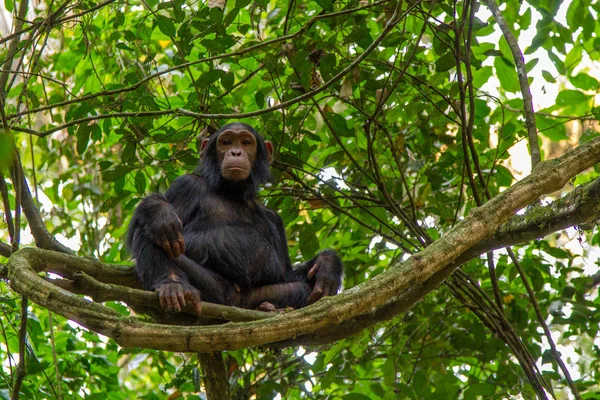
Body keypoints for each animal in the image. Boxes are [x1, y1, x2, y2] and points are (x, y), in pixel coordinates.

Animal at [126, 122, 342, 316]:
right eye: (226, 142)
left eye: (246, 142)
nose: (236, 152)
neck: (232, 192)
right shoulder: (186, 185)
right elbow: (158, 220)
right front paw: (160, 213)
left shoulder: (275, 219)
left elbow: (284, 272)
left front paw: (327, 263)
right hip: (216, 290)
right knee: (152, 233)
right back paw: (173, 284)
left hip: (255, 297)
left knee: (302, 288)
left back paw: (269, 307)